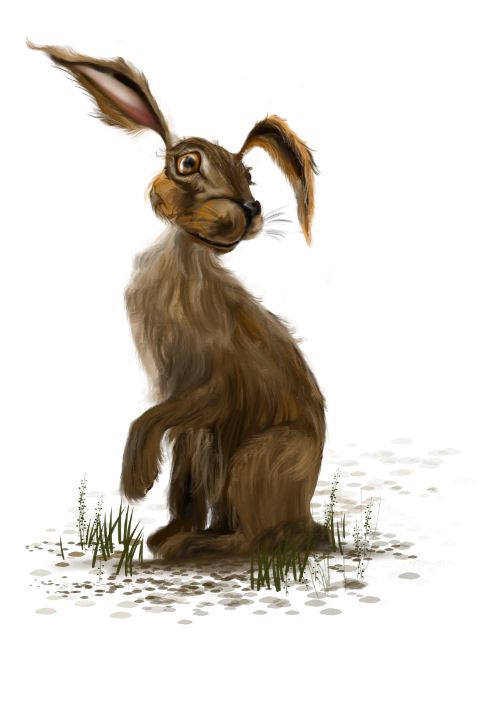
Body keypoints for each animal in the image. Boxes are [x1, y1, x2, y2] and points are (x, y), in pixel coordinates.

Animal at [30, 41, 329, 560]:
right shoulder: (182, 401)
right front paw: (162, 527)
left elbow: (151, 421)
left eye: (249, 173)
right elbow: (183, 478)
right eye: (187, 164)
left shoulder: (213, 386)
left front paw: (135, 480)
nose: (249, 210)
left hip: (260, 457)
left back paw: (200, 546)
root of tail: (309, 517)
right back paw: (184, 540)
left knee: (262, 540)